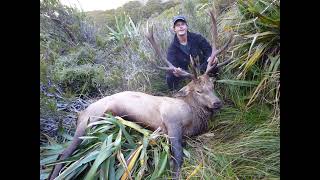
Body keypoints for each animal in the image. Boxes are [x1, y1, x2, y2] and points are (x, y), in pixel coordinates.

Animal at [48, 10, 231, 179]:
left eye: (212, 85)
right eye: (198, 90)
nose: (217, 103)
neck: (192, 114)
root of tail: (79, 113)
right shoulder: (171, 122)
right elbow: (178, 157)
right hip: (89, 122)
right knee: (63, 153)